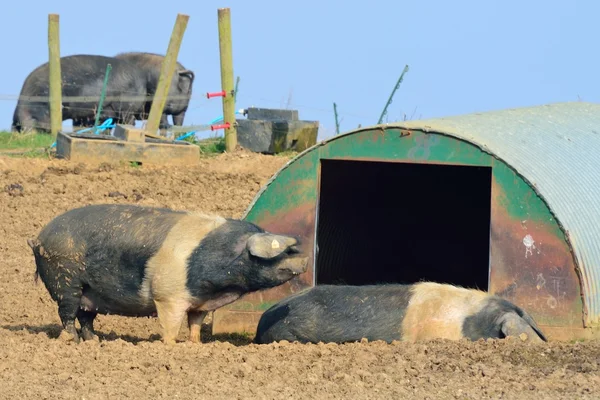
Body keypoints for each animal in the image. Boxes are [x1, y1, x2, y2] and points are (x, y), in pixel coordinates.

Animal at [27, 203, 310, 344]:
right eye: (283, 252)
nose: (306, 259)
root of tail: (39, 237)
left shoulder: (200, 302)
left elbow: (195, 324)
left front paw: (195, 345)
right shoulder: (167, 296)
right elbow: (171, 327)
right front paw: (171, 347)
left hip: (91, 293)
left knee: (86, 316)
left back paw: (95, 341)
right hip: (66, 280)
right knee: (67, 314)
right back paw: (73, 341)